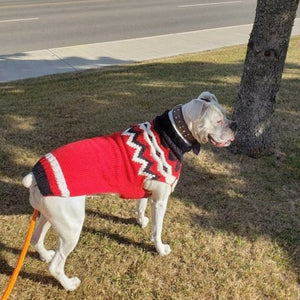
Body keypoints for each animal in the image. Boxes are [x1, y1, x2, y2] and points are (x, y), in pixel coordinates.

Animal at [22, 92, 236, 290]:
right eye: (218, 121)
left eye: (226, 115)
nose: (234, 125)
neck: (172, 134)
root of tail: (35, 174)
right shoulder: (160, 202)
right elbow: (157, 230)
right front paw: (160, 249)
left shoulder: (145, 191)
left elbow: (140, 206)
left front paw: (141, 221)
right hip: (71, 227)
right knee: (55, 265)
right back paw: (69, 284)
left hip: (49, 216)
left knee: (36, 239)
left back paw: (44, 255)